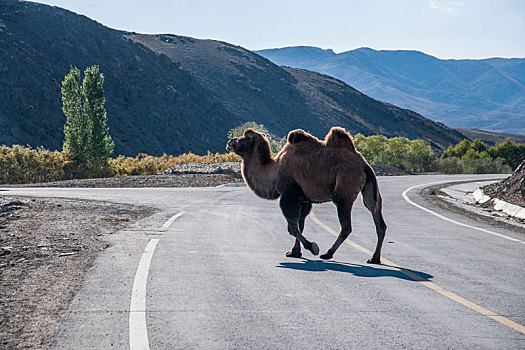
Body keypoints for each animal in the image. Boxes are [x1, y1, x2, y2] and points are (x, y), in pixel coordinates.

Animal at [225, 127, 384, 264]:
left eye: (243, 138)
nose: (229, 142)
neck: (274, 170)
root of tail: (364, 165)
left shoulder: (290, 195)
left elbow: (292, 227)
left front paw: (313, 247)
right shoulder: (304, 200)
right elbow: (299, 225)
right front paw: (294, 252)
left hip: (344, 191)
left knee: (346, 226)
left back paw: (327, 253)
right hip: (368, 189)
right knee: (377, 218)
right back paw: (374, 258)